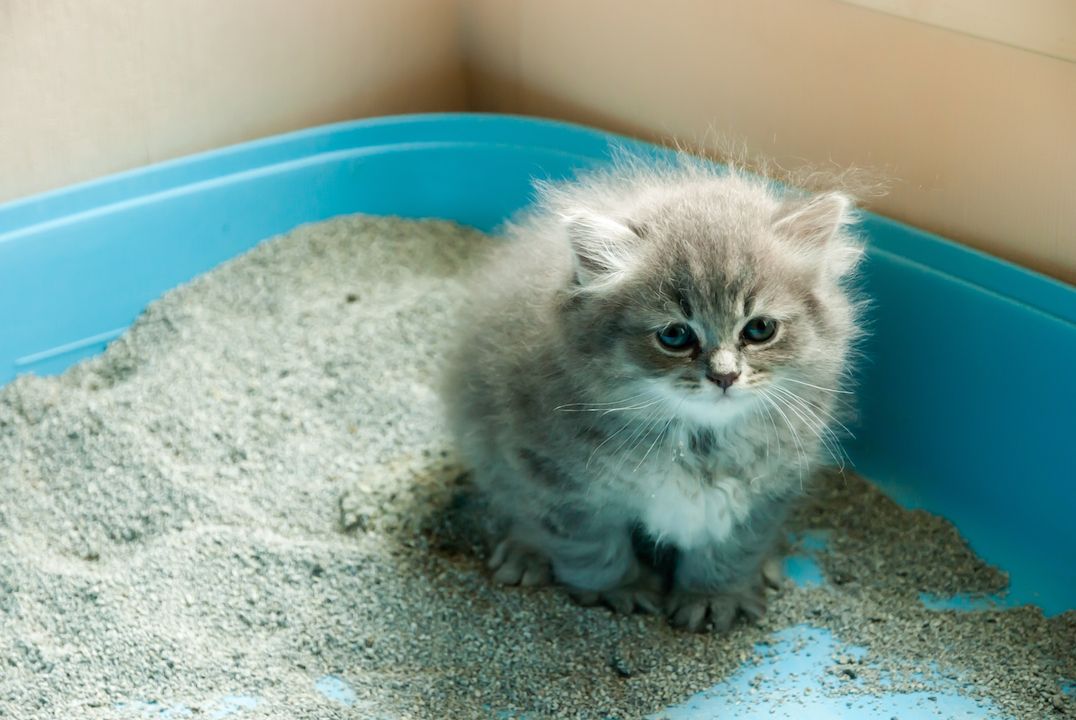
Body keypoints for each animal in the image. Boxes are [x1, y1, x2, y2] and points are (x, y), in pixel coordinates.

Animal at [445, 152, 865, 628]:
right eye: (675, 336)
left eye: (759, 329)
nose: (724, 376)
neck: (698, 441)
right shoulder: (554, 479)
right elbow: (592, 548)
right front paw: (622, 589)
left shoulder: (763, 493)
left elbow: (730, 552)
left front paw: (712, 598)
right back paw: (524, 552)